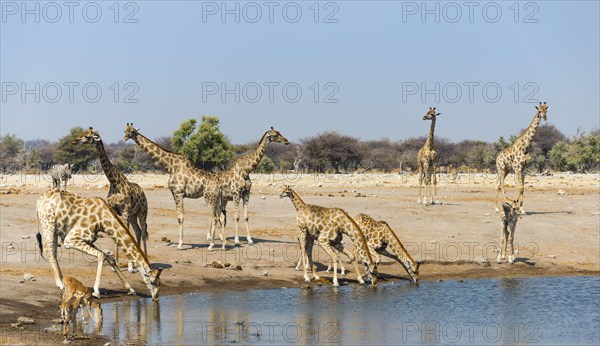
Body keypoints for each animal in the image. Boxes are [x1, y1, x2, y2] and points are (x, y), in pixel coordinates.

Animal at [72, 127, 149, 270]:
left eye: (88, 136)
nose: (74, 141)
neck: (114, 182)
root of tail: (142, 192)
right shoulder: (115, 210)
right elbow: (117, 235)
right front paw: (117, 264)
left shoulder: (125, 211)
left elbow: (126, 233)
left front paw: (129, 265)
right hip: (133, 214)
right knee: (138, 231)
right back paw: (138, 260)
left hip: (142, 211)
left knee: (143, 231)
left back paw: (144, 259)